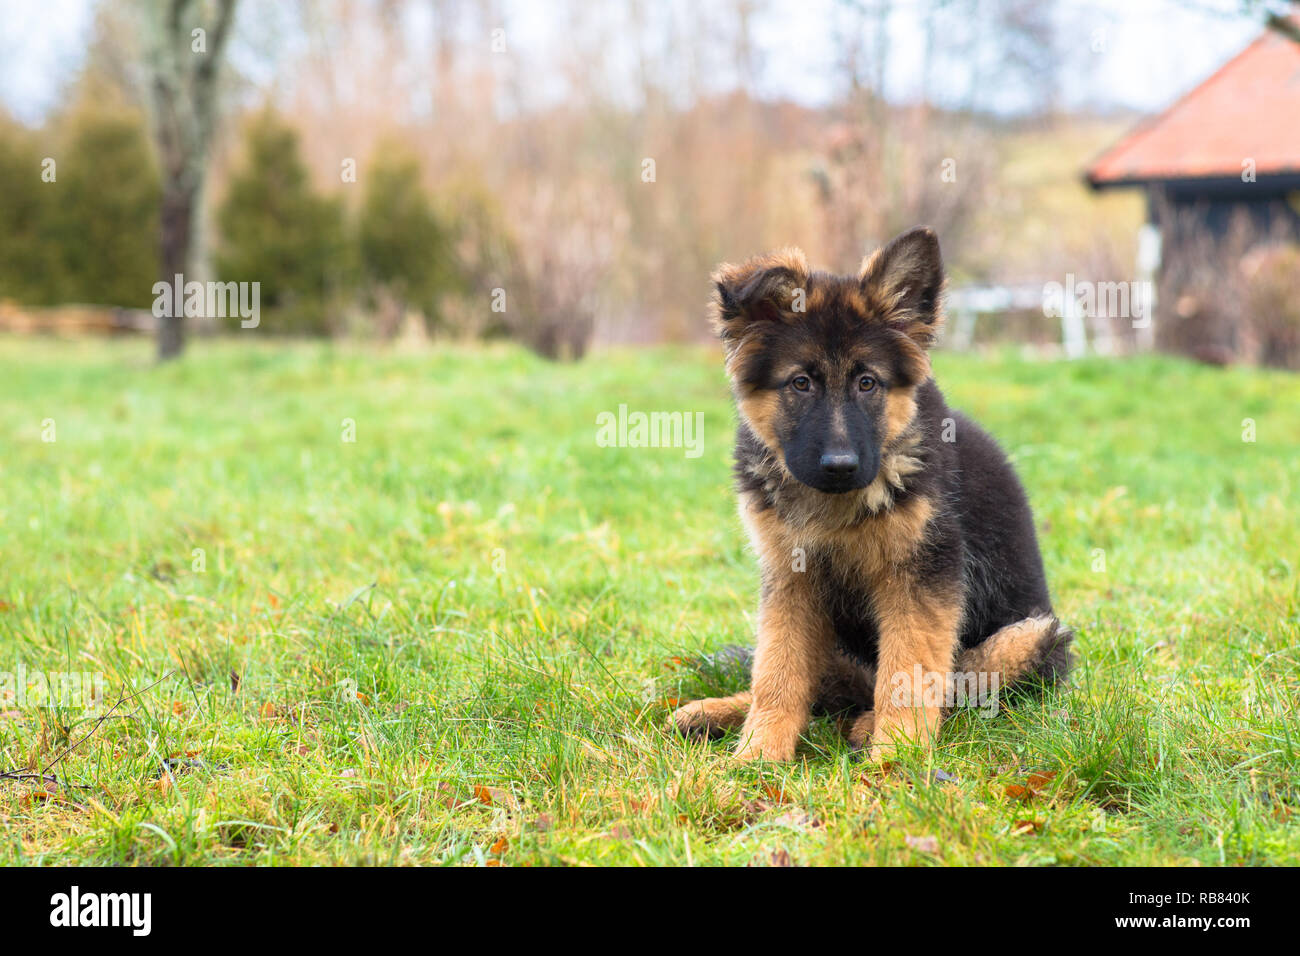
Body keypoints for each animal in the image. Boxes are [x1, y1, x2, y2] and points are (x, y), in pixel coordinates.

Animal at [665, 226, 1071, 764]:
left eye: (867, 383)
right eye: (801, 383)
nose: (840, 466)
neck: (834, 505)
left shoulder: (920, 577)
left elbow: (908, 672)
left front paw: (896, 756)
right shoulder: (791, 577)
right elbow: (777, 670)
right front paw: (759, 755)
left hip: (1031, 635)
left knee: (952, 685)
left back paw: (866, 726)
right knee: (821, 689)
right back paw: (717, 712)